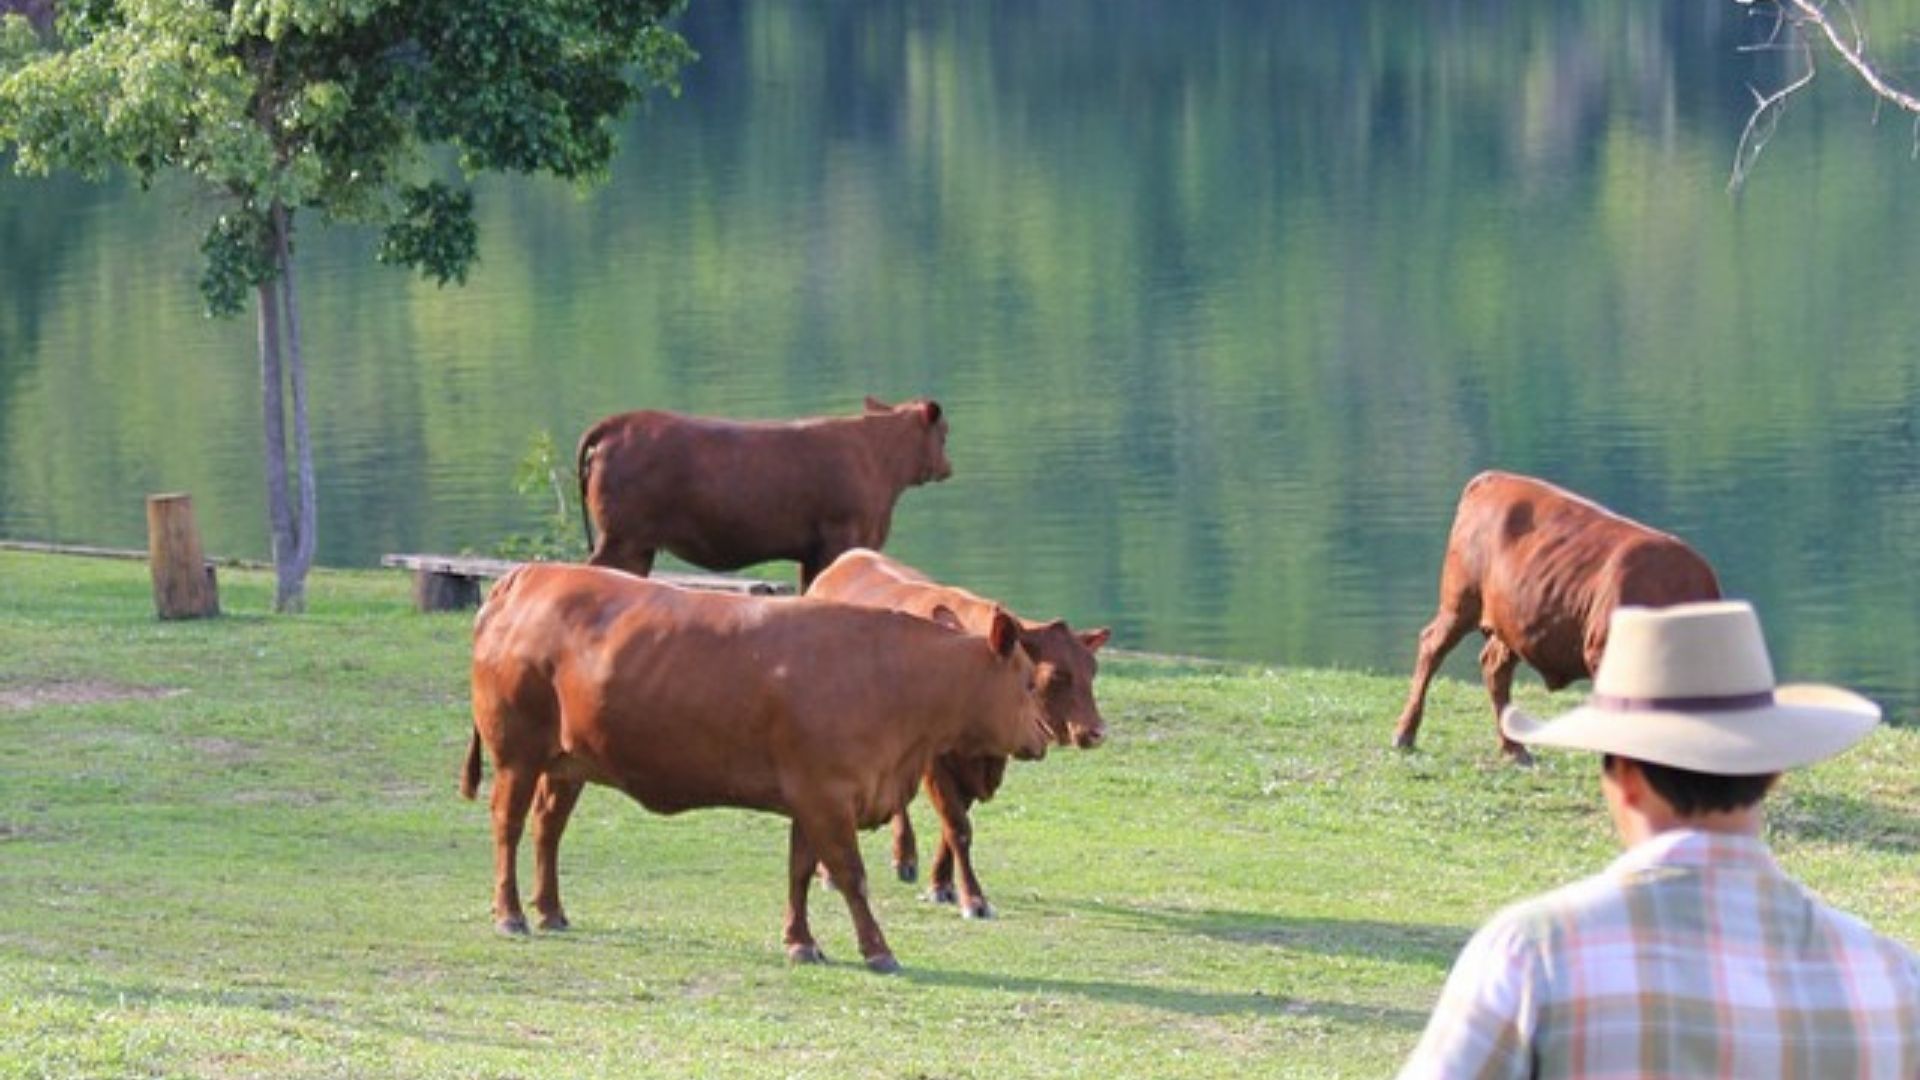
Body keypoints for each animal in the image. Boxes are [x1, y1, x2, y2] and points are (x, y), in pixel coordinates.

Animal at [460, 557, 1052, 972]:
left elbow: (799, 872)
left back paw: (550, 909)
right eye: (1029, 682)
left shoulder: (809, 800)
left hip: (567, 761)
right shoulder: (826, 797)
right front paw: (877, 949)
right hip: (517, 756)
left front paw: (800, 942)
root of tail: (528, 576)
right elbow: (850, 876)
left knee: (548, 827)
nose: (1044, 736)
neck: (889, 676)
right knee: (509, 825)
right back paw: (511, 913)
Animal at [572, 395, 956, 584]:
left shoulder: (812, 551)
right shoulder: (843, 536)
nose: (948, 466)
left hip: (638, 546)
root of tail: (619, 422)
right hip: (621, 539)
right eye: (945, 431)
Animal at [806, 545, 1113, 914]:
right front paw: (974, 898)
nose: (1097, 732)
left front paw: (942, 883)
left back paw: (904, 857)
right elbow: (958, 827)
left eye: (1092, 670)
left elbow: (951, 828)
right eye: (1056, 675)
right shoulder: (935, 763)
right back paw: (830, 872)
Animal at [1390, 468, 1720, 757]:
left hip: (1511, 623)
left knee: (1494, 667)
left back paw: (1515, 749)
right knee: (1432, 647)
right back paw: (1404, 734)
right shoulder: (1601, 653)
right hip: (1459, 604)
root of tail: (1492, 478)